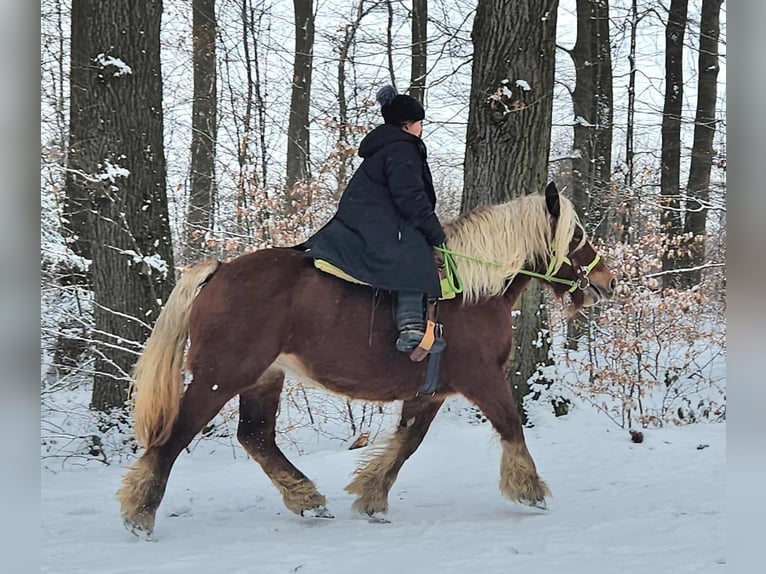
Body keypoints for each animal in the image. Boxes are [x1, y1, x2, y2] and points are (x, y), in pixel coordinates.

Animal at [118, 182, 616, 539]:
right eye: (576, 235)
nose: (607, 281)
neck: (473, 291)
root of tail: (220, 270)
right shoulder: (483, 379)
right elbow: (511, 426)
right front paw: (530, 490)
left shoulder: (431, 391)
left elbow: (407, 443)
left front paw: (371, 496)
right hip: (220, 377)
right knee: (175, 437)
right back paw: (141, 512)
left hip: (263, 377)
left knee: (256, 437)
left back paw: (307, 498)